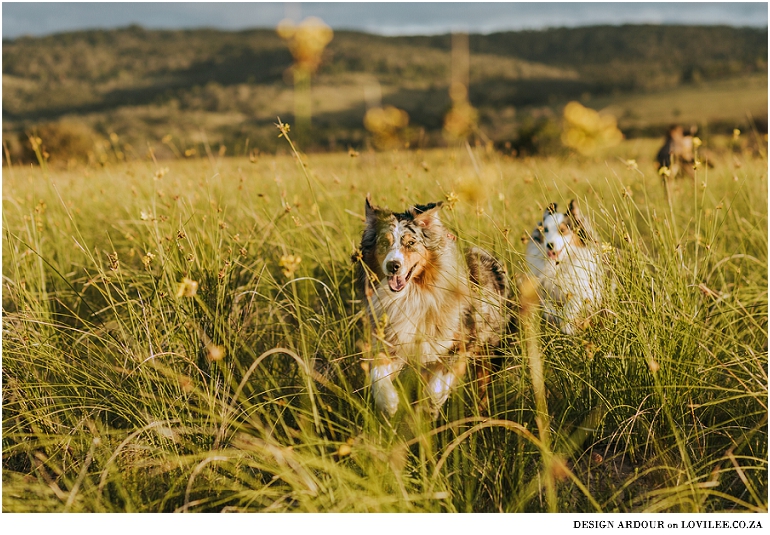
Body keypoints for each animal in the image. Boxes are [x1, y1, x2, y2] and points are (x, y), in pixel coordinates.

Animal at [356, 197, 510, 418]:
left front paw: (427, 409)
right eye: (384, 243)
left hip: (488, 345)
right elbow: (379, 372)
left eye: (411, 243)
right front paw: (389, 402)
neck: (411, 295)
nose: (393, 266)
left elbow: (436, 387)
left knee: (483, 382)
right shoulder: (392, 339)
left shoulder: (459, 344)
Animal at [520, 201, 608, 336]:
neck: (559, 263)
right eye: (545, 230)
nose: (550, 245)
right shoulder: (543, 291)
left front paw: (568, 326)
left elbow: (571, 306)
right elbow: (548, 308)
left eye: (562, 230)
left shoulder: (587, 291)